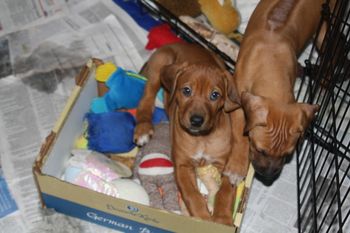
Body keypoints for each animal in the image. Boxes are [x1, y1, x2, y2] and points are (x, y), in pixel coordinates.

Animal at [134, 41, 246, 224]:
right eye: (186, 90)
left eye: (215, 95)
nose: (196, 120)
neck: (202, 138)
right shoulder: (182, 166)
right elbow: (192, 195)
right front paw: (203, 217)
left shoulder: (224, 166)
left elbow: (225, 193)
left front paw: (222, 218)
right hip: (160, 64)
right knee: (147, 97)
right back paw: (143, 128)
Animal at [230, 0, 322, 179]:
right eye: (260, 150)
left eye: (287, 154)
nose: (268, 176)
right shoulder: (238, 99)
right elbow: (239, 134)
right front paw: (236, 166)